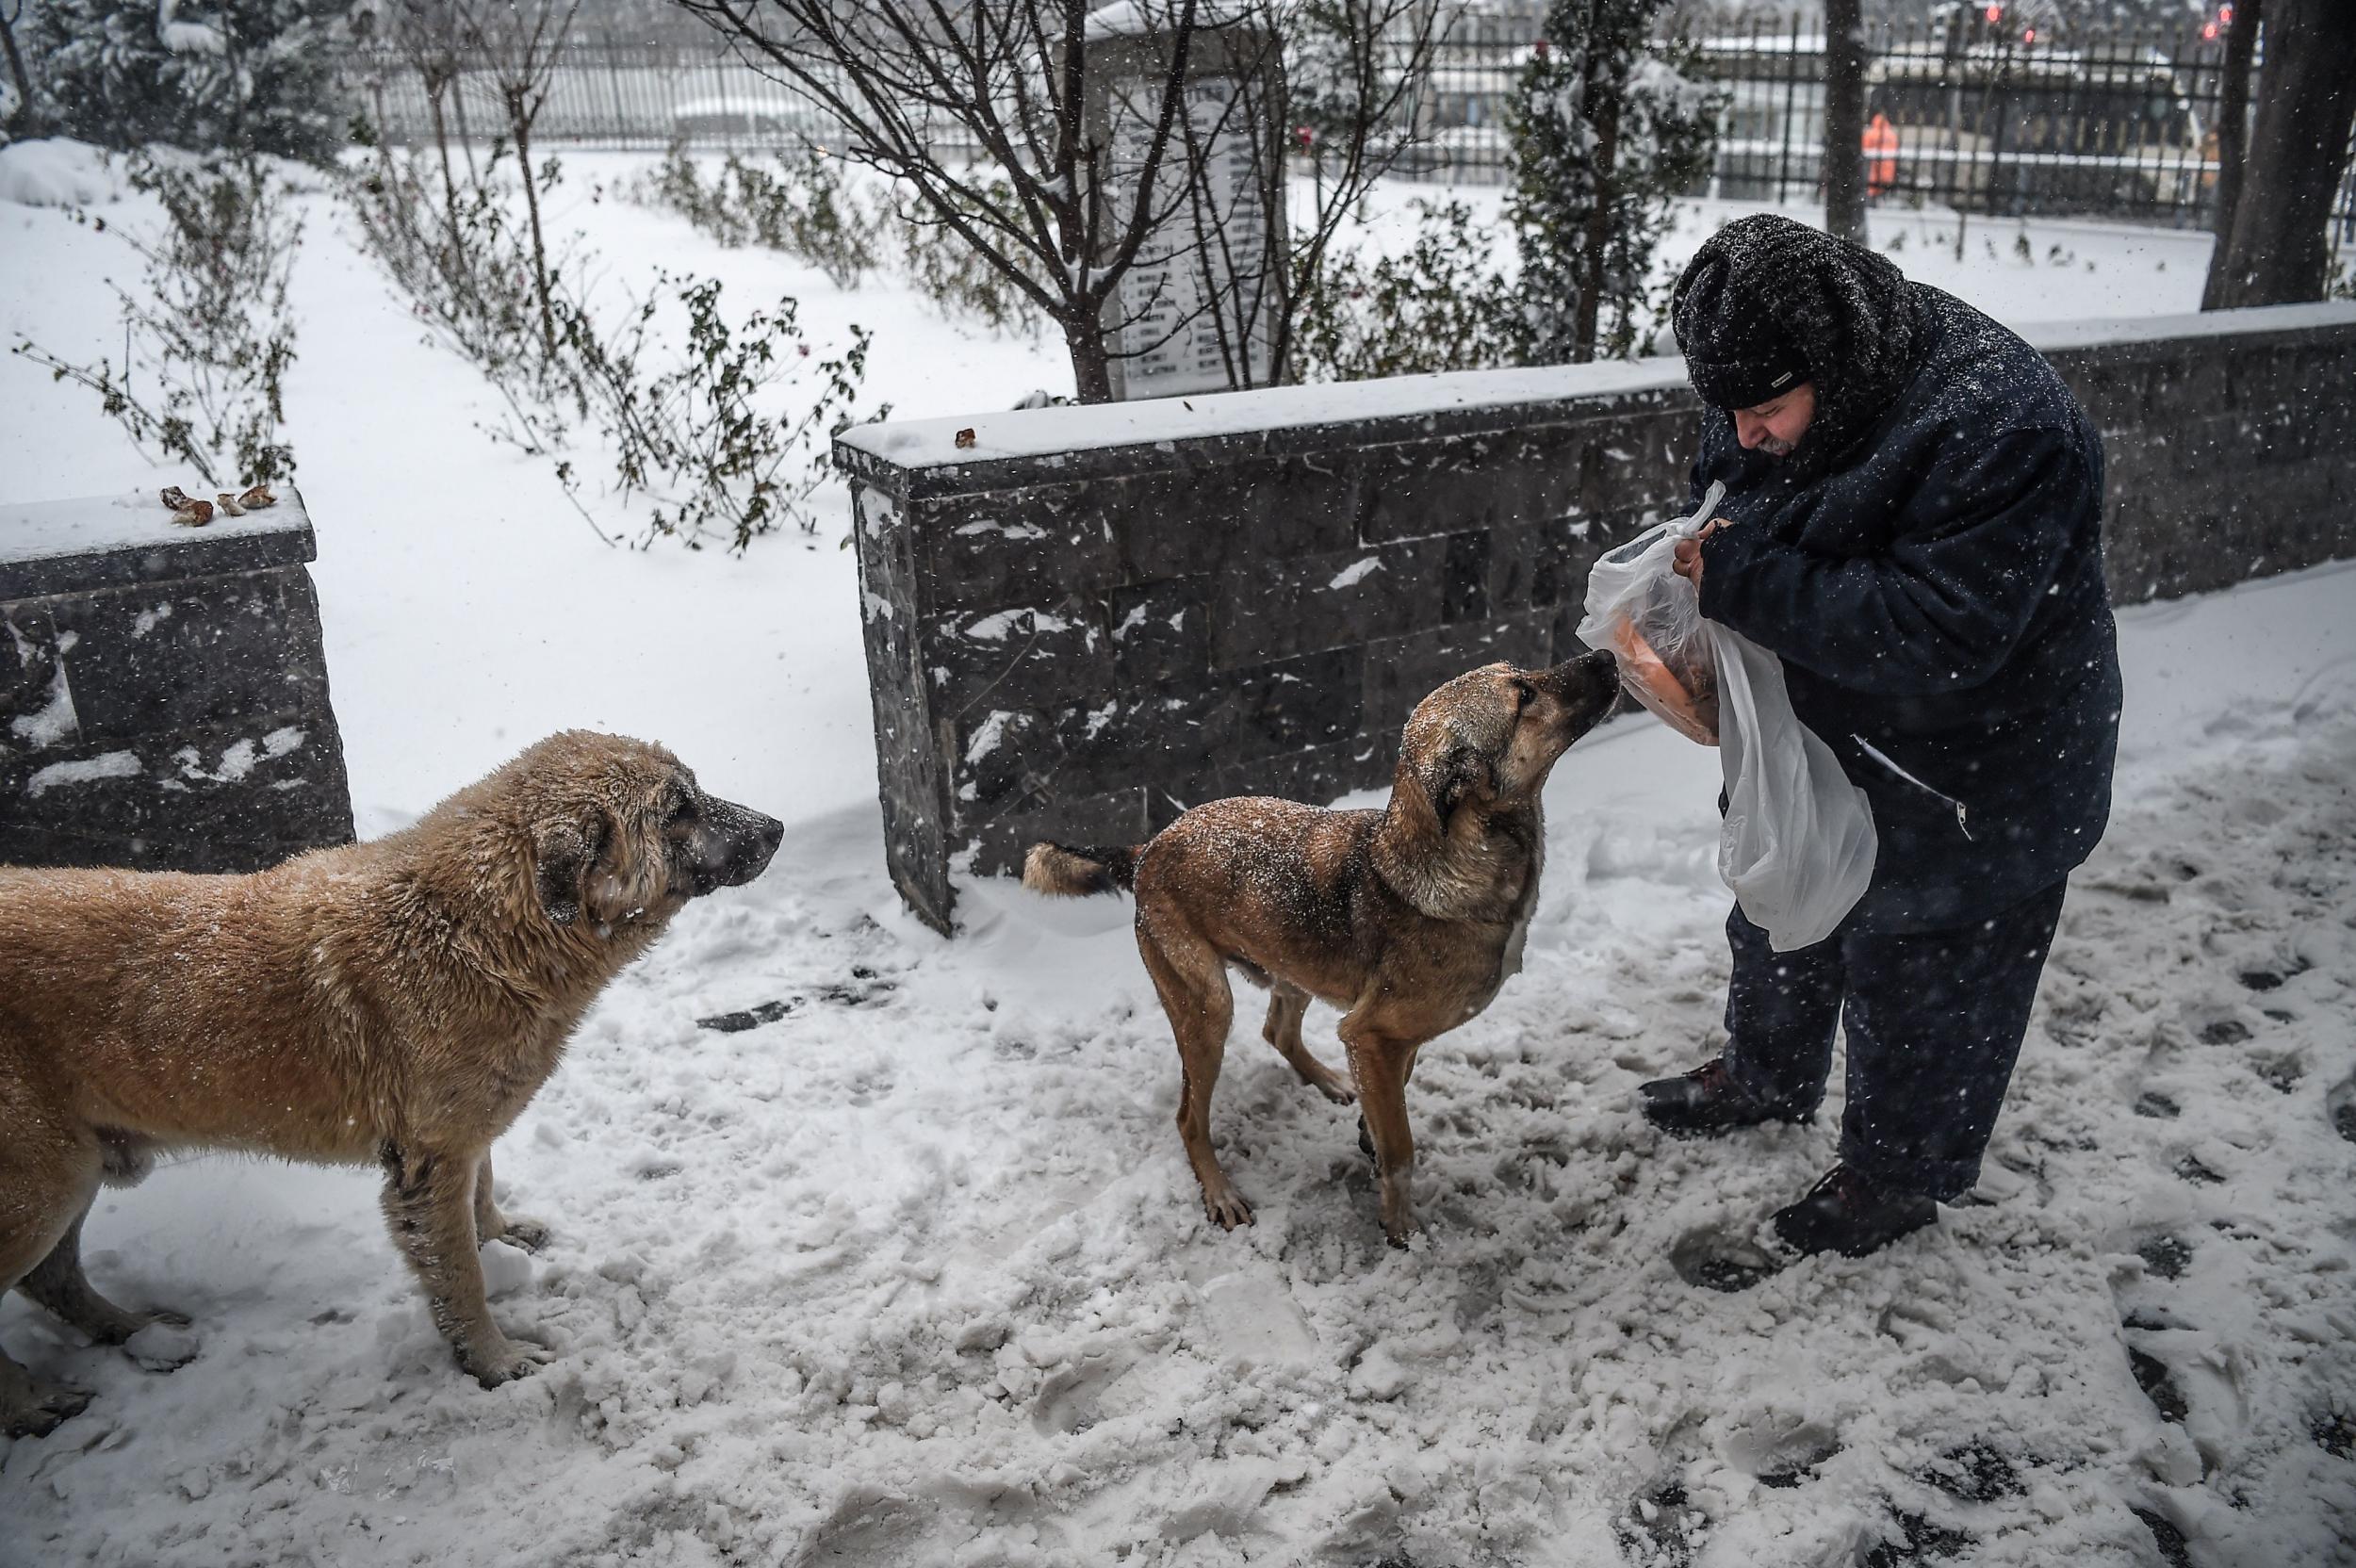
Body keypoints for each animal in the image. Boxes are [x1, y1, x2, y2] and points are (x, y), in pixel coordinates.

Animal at [0, 729, 792, 1431]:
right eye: (677, 809)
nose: (780, 827)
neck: (472, 930)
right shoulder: (426, 1163)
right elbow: (460, 1277)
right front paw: (495, 1363)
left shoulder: (465, 1135)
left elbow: (483, 1192)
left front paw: (502, 1238)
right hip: (42, 1184)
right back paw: (35, 1403)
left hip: (73, 1168)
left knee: (52, 1278)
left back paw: (134, 1331)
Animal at [1032, 640, 1621, 1243]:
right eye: (1523, 695)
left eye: (1521, 675)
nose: (1607, 654)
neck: (1457, 858)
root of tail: (1146, 849)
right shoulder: (1373, 1035)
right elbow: (1401, 1150)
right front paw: (1399, 1225)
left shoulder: (1382, 1040)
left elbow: (1393, 1100)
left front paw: (1368, 1133)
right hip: (1206, 1009)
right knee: (1189, 1117)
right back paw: (1219, 1193)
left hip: (1292, 964)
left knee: (1277, 1031)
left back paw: (1328, 1081)